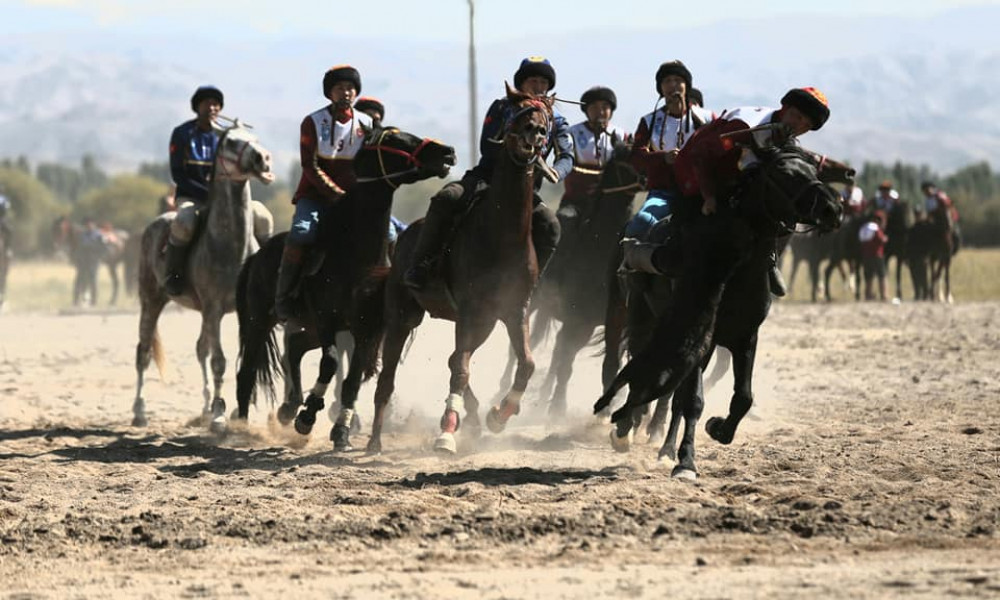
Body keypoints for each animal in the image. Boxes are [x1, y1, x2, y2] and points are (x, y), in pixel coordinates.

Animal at [133, 122, 276, 428]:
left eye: (255, 138)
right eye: (231, 141)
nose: (263, 159)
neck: (232, 248)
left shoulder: (238, 311)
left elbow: (240, 355)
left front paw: (230, 410)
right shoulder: (213, 308)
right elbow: (219, 361)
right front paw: (220, 414)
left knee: (200, 349)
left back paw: (204, 407)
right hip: (151, 301)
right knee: (143, 352)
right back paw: (139, 411)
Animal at [232, 123, 456, 450]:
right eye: (394, 138)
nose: (447, 152)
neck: (354, 255)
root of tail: (256, 256)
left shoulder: (364, 328)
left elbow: (351, 381)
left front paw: (341, 432)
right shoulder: (328, 319)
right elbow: (330, 362)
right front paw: (308, 415)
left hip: (310, 326)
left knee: (295, 347)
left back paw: (288, 407)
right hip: (260, 320)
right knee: (247, 372)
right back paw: (240, 428)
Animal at [368, 82, 556, 452]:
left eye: (545, 115)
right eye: (517, 109)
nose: (536, 132)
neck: (502, 234)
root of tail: (404, 236)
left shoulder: (513, 311)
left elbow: (526, 364)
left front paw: (500, 414)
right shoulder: (471, 310)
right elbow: (461, 370)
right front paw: (447, 431)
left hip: (482, 322)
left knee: (455, 358)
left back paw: (475, 417)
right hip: (402, 317)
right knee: (390, 378)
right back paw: (375, 441)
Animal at [592, 145, 844, 478]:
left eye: (815, 170)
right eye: (785, 174)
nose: (832, 208)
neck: (734, 271)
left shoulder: (744, 337)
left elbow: (742, 398)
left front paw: (716, 429)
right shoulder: (701, 338)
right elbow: (692, 400)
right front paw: (685, 461)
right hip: (635, 313)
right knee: (631, 361)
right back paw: (626, 428)